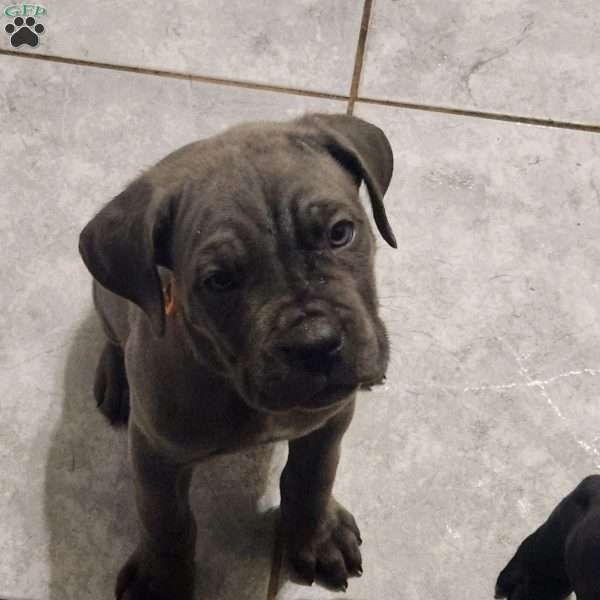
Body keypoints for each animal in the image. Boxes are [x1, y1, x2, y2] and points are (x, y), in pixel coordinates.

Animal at [79, 113, 398, 600]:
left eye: (340, 234)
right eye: (219, 281)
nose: (315, 343)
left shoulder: (329, 421)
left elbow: (313, 476)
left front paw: (316, 535)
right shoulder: (154, 452)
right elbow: (165, 521)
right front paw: (161, 580)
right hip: (107, 303)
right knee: (113, 338)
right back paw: (117, 382)